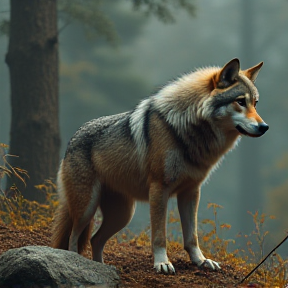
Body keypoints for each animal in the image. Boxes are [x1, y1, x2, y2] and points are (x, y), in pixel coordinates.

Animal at [51, 58, 268, 274]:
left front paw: (201, 261)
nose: (264, 127)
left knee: (95, 239)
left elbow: (192, 237)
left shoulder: (191, 192)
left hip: (122, 215)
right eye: (241, 101)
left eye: (255, 103)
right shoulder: (158, 189)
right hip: (87, 209)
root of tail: (72, 138)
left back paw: (102, 267)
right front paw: (162, 263)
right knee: (73, 238)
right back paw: (76, 261)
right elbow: (159, 235)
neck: (186, 130)